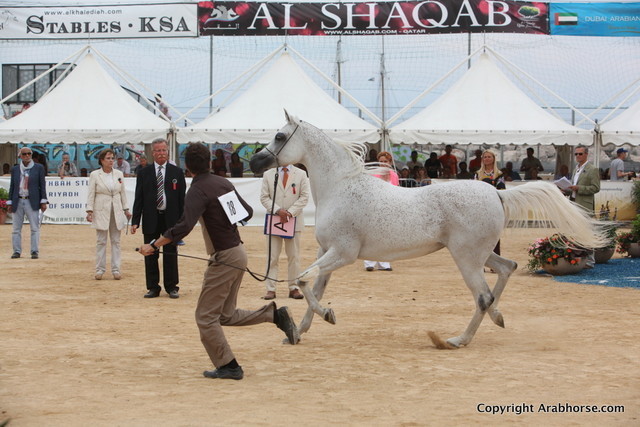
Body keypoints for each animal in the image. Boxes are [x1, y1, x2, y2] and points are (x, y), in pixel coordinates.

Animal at [250, 111, 608, 349]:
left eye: (279, 136)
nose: (255, 163)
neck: (341, 187)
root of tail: (496, 192)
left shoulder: (343, 253)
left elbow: (303, 280)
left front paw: (326, 316)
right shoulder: (328, 252)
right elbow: (314, 286)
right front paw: (301, 331)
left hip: (466, 258)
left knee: (483, 296)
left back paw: (456, 340)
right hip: (479, 254)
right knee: (507, 269)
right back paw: (497, 317)